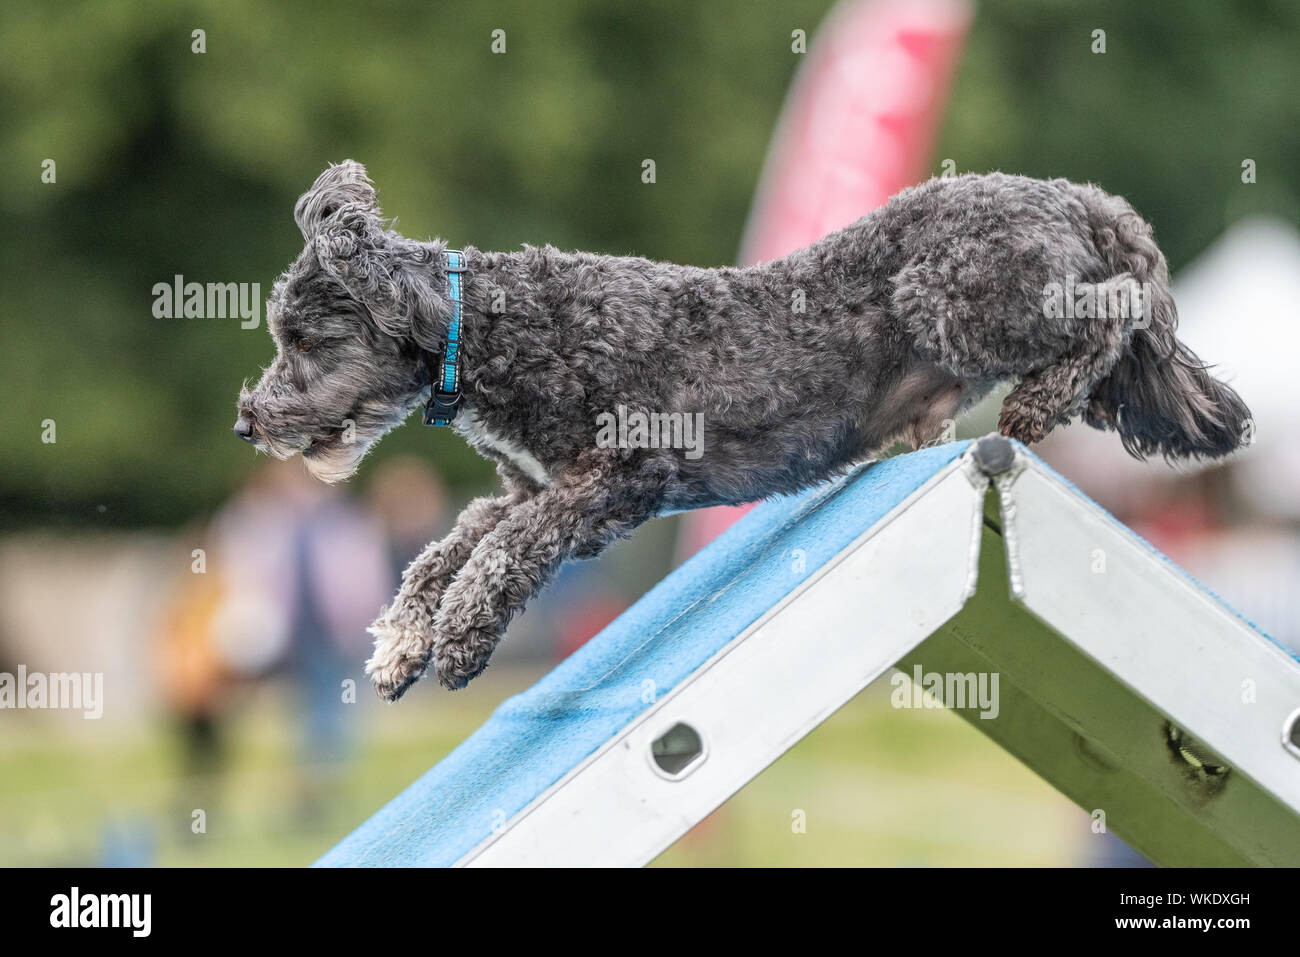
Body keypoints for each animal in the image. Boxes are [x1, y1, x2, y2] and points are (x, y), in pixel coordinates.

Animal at [233, 160, 1248, 696]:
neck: (482, 327)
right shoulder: (527, 485)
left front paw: (460, 640)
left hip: (956, 294)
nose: (248, 421)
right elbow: (440, 552)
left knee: (1111, 311)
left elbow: (501, 556)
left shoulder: (614, 477)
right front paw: (402, 641)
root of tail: (1074, 195)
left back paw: (1038, 403)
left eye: (303, 340)